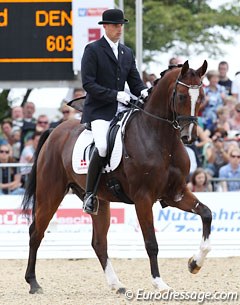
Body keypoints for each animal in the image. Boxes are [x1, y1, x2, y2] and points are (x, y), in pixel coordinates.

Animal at [21, 58, 211, 294]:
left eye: (201, 97)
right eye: (182, 96)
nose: (189, 137)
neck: (160, 139)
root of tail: (54, 131)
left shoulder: (175, 194)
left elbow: (206, 214)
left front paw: (195, 263)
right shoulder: (143, 198)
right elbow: (151, 243)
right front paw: (159, 283)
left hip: (99, 201)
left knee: (98, 242)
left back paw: (116, 284)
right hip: (50, 194)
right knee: (36, 232)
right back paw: (33, 282)